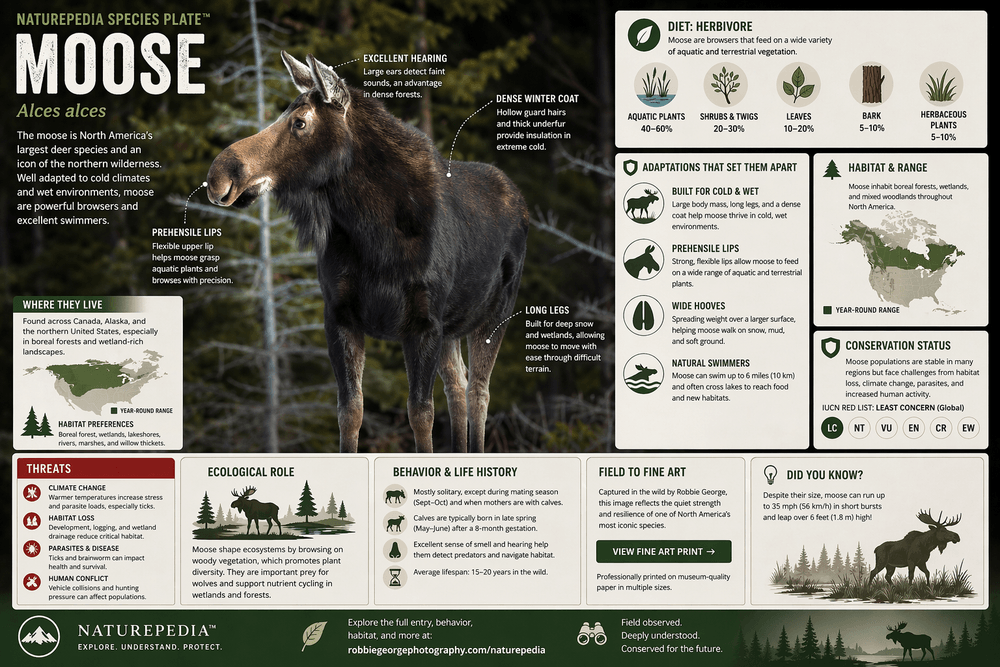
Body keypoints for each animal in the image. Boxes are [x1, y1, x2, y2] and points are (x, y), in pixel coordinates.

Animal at [207, 52, 528, 454]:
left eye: (300, 122)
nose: (220, 174)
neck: (371, 232)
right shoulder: (340, 315)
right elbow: (350, 411)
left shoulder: (423, 322)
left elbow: (420, 414)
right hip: (454, 326)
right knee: (458, 385)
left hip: (496, 312)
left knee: (478, 392)